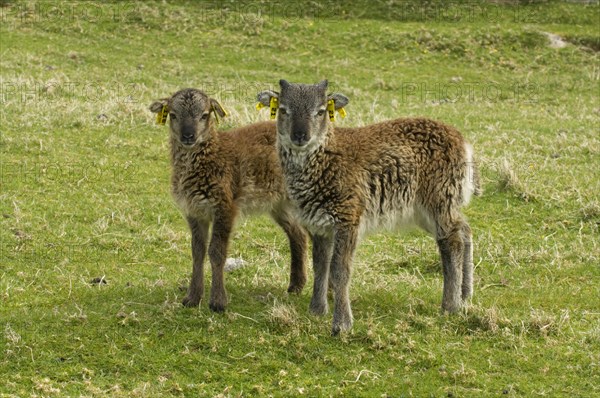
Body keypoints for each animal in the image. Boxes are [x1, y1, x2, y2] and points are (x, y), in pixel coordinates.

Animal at [150, 88, 310, 312]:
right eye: (173, 115)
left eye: (204, 115)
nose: (188, 136)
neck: (213, 155)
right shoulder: (194, 210)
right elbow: (197, 251)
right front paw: (192, 298)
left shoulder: (225, 206)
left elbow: (216, 251)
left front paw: (218, 302)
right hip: (281, 204)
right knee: (298, 234)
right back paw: (296, 286)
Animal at [255, 79, 480, 334]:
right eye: (283, 109)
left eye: (320, 111)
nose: (300, 136)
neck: (325, 160)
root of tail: (463, 143)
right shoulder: (319, 223)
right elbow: (320, 266)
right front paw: (317, 310)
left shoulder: (349, 218)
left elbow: (340, 270)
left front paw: (341, 324)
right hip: (425, 208)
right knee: (464, 229)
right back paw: (465, 295)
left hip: (439, 198)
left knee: (451, 241)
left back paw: (450, 305)